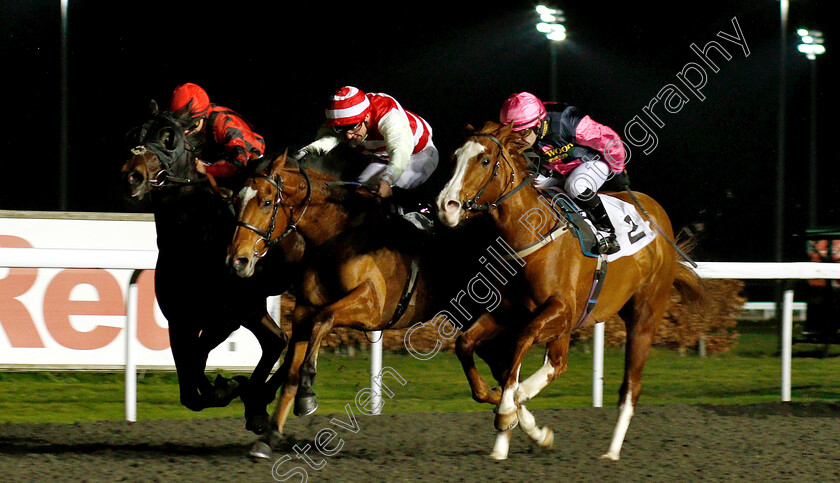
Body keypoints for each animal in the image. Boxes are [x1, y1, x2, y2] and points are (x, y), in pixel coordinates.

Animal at [118, 107, 302, 434]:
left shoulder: (228, 317)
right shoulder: (181, 319)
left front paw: (232, 386)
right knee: (279, 340)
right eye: (134, 134)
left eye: (168, 139)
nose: (133, 176)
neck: (194, 236)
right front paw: (231, 389)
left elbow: (197, 358)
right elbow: (190, 387)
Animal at [434, 121, 704, 462]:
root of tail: (657, 216)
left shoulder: (561, 310)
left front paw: (509, 409)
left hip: (644, 315)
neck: (530, 236)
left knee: (630, 385)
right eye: (455, 157)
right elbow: (465, 345)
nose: (446, 206)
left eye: (484, 160)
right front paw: (512, 421)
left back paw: (611, 451)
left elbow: (520, 346)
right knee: (557, 364)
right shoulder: (509, 312)